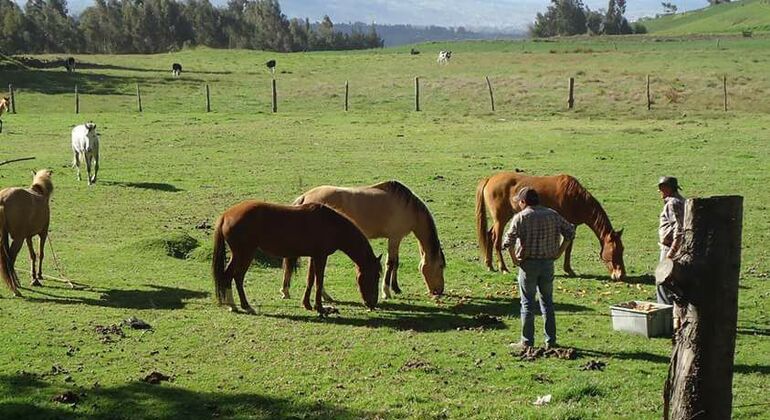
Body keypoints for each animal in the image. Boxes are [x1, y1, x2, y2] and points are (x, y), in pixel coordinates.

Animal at [0, 167, 53, 296]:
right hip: (18, 239)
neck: (40, 192)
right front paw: (39, 275)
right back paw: (15, 288)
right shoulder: (43, 234)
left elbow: (32, 255)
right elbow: (40, 254)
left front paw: (34, 277)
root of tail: (3, 199)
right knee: (10, 260)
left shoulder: (28, 236)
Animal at [282, 179, 444, 300]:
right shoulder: (394, 238)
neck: (407, 207)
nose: (440, 291)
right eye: (441, 266)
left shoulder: (395, 239)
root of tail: (305, 196)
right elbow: (391, 263)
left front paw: (396, 288)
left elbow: (396, 263)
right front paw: (386, 291)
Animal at [474, 172, 624, 280]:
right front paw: (568, 269)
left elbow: (568, 247)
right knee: (496, 241)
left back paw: (489, 265)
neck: (576, 198)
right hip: (501, 219)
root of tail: (490, 178)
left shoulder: (572, 224)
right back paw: (503, 268)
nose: (621, 275)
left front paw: (569, 269)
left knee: (489, 235)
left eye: (622, 249)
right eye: (614, 250)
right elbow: (567, 247)